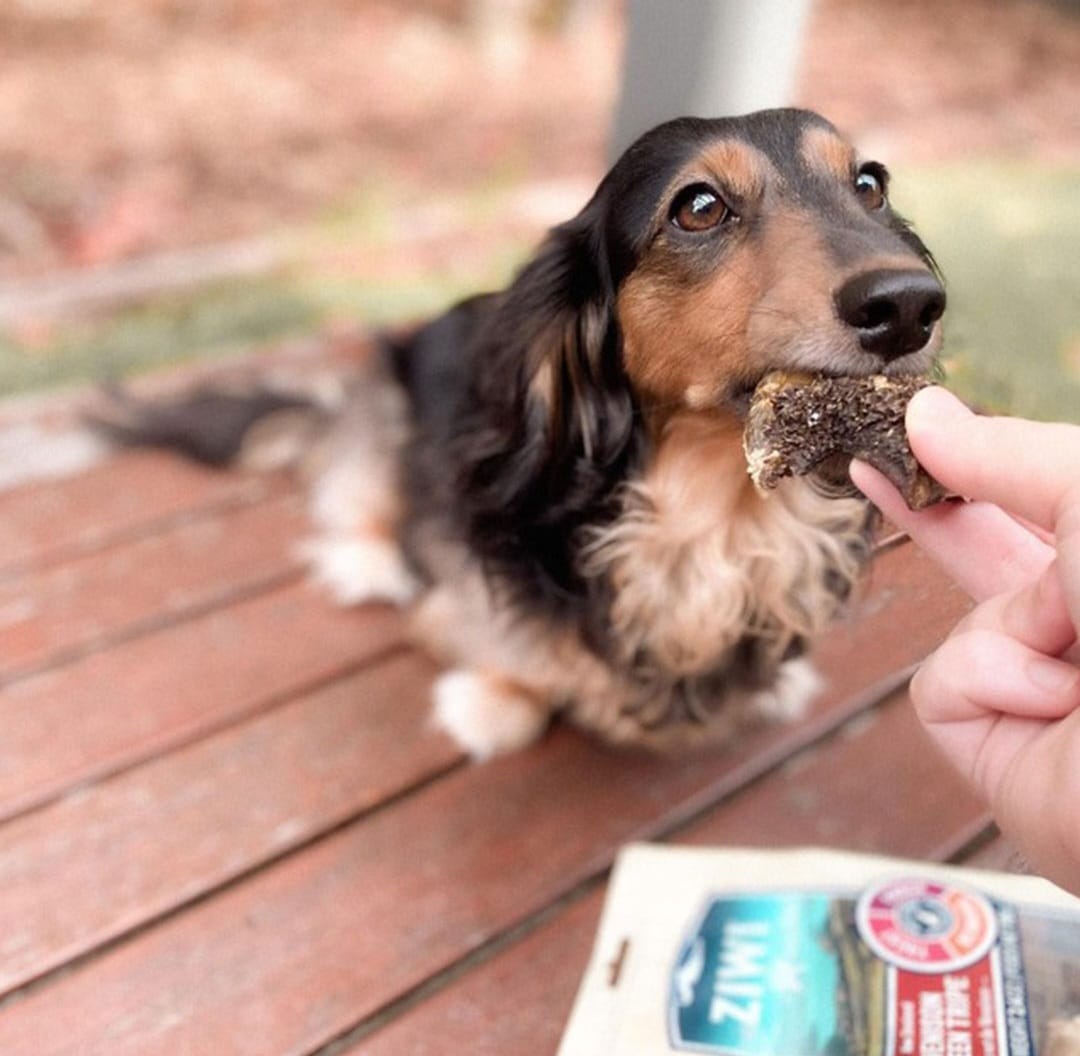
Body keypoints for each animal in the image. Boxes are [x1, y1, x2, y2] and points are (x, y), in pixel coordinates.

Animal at [101, 111, 946, 755]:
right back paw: (370, 559)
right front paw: (495, 699)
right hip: (389, 401)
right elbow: (517, 664)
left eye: (870, 185)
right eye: (699, 206)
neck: (715, 520)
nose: (910, 304)